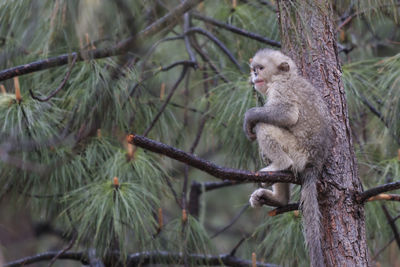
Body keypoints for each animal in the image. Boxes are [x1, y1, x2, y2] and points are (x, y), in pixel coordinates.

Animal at [244, 48, 334, 267]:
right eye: (254, 69)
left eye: (260, 68)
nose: (254, 75)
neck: (285, 76)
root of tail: (315, 163)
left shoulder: (282, 88)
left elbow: (287, 114)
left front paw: (249, 117)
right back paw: (279, 199)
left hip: (298, 152)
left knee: (264, 125)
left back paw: (280, 164)